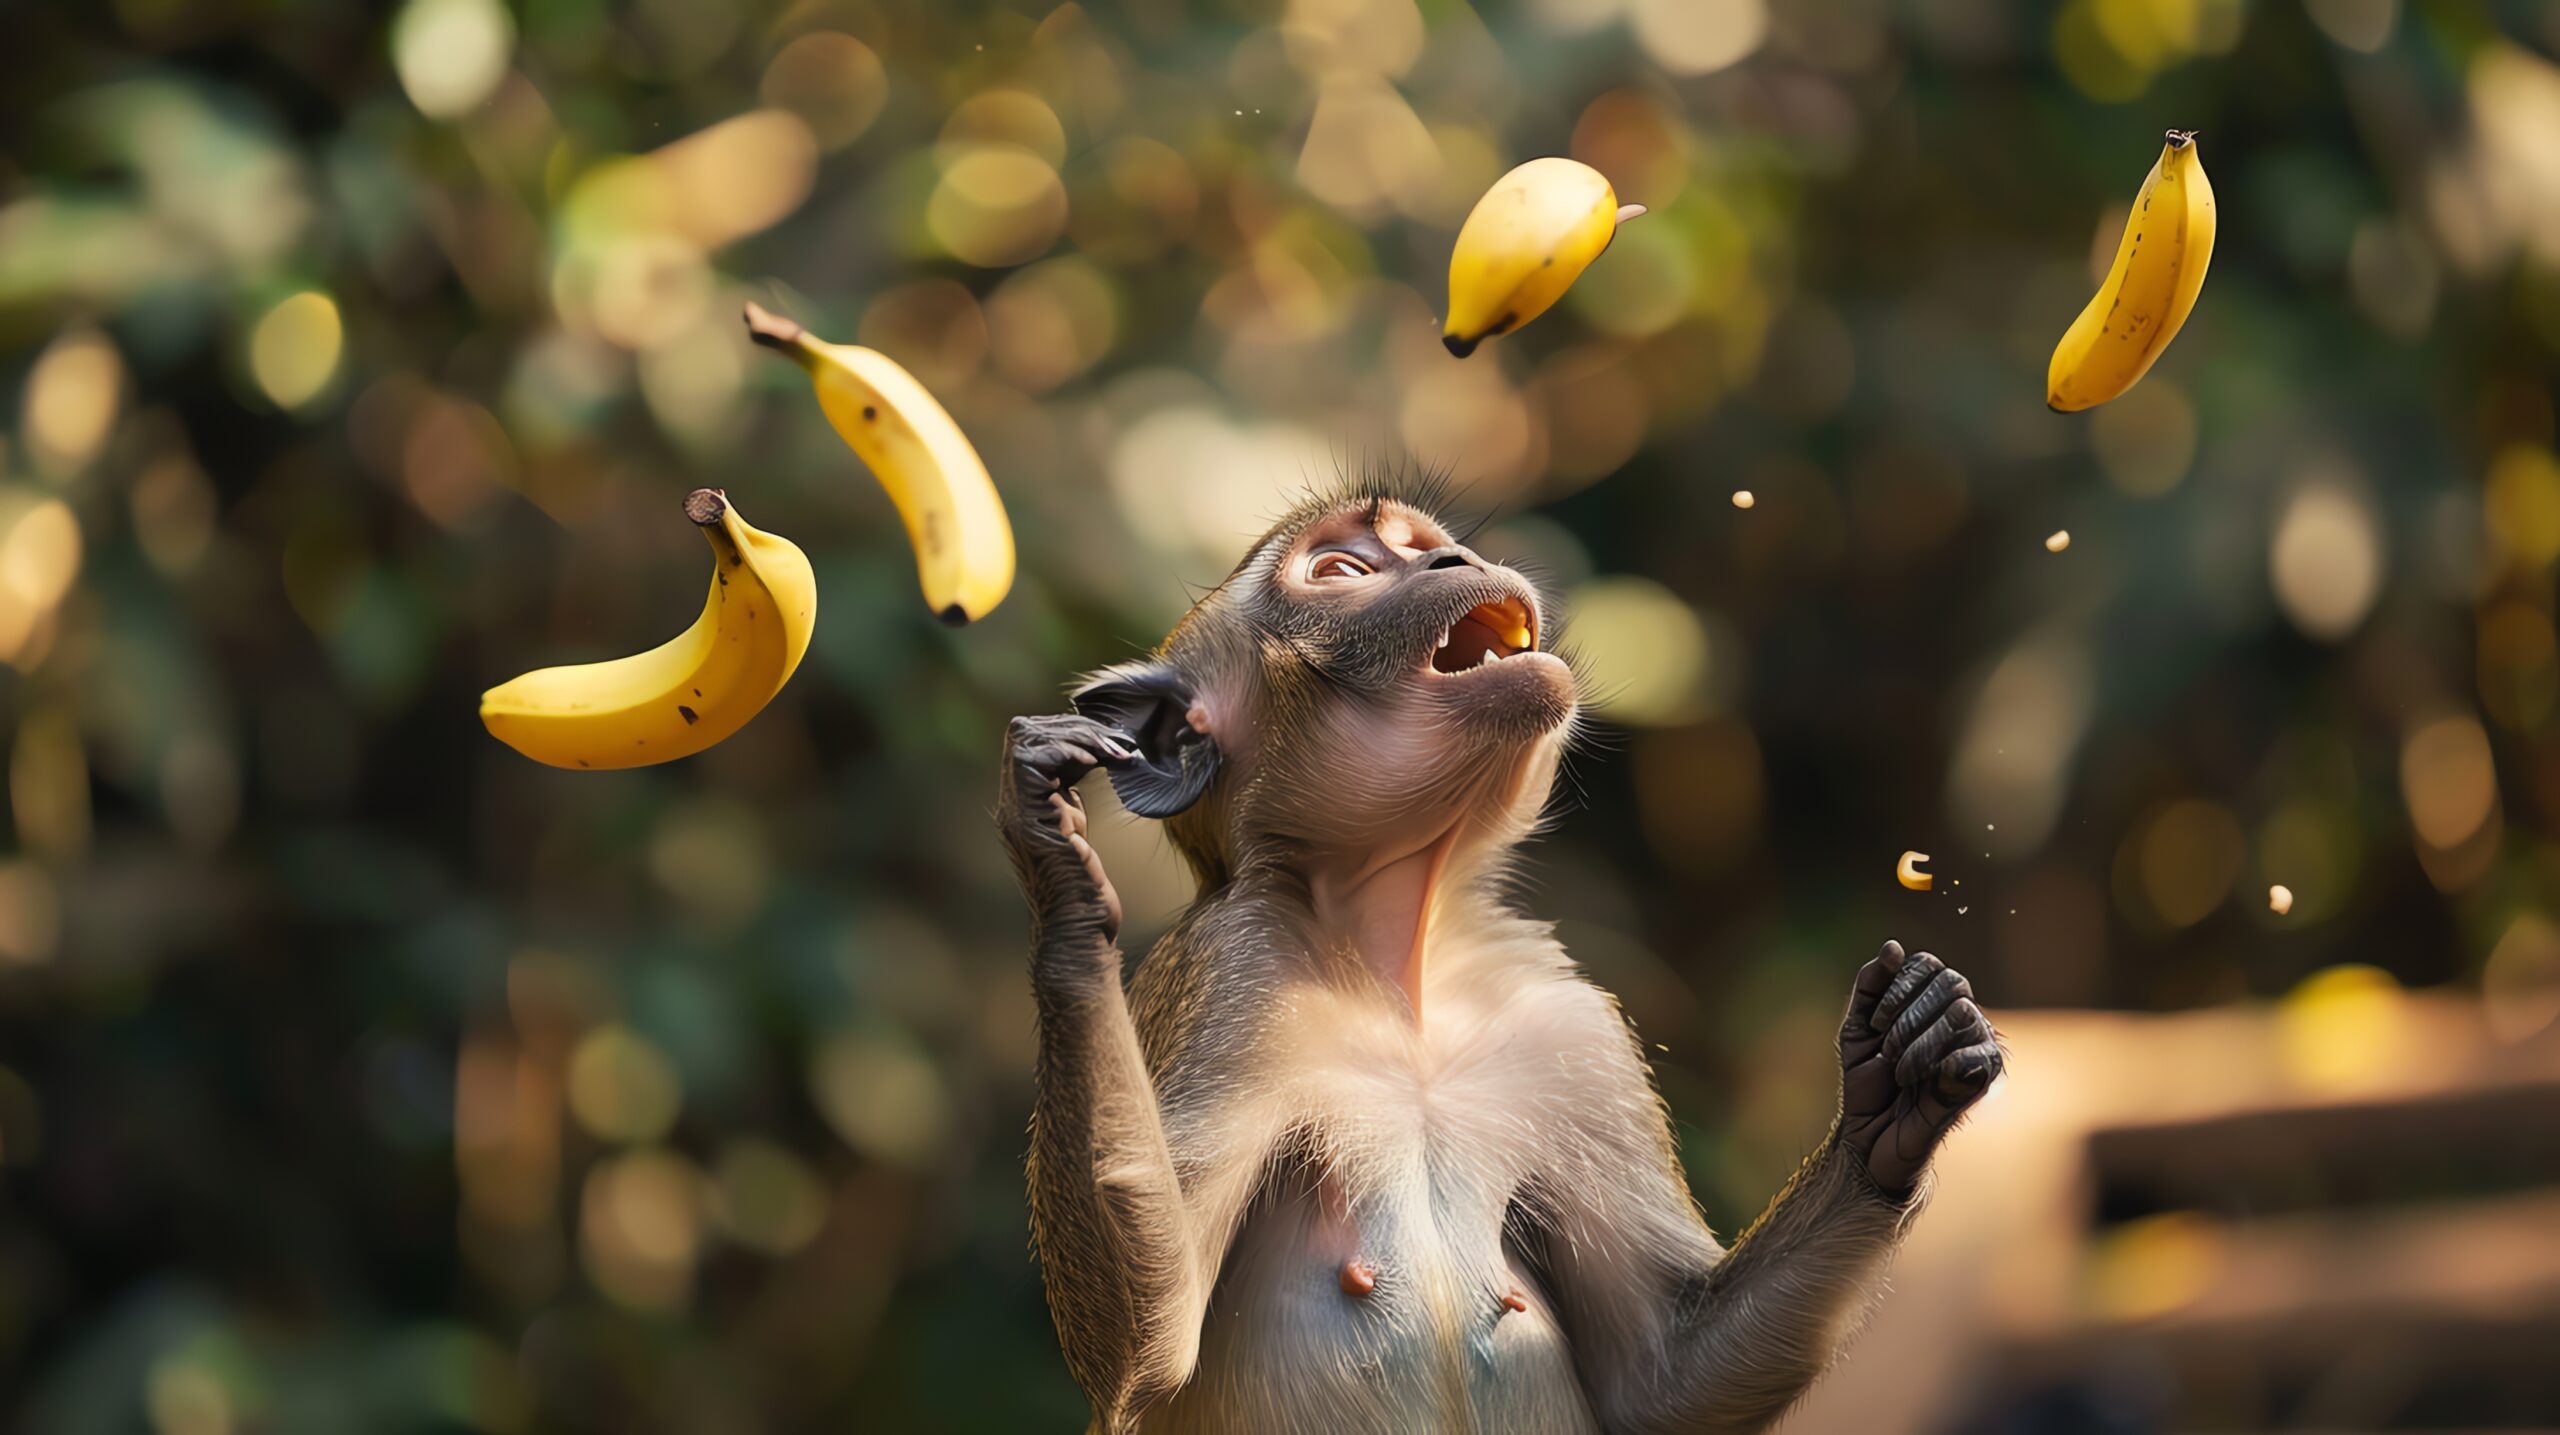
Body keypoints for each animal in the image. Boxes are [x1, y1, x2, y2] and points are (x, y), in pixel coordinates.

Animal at [988, 478, 2007, 1432]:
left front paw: (1895, 1088)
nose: (1454, 561)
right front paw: (1057, 872)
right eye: (1340, 570)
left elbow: (1665, 1377)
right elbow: (1148, 1347)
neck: (1400, 967)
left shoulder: (1570, 1028)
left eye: (1421, 546)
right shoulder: (1226, 969)